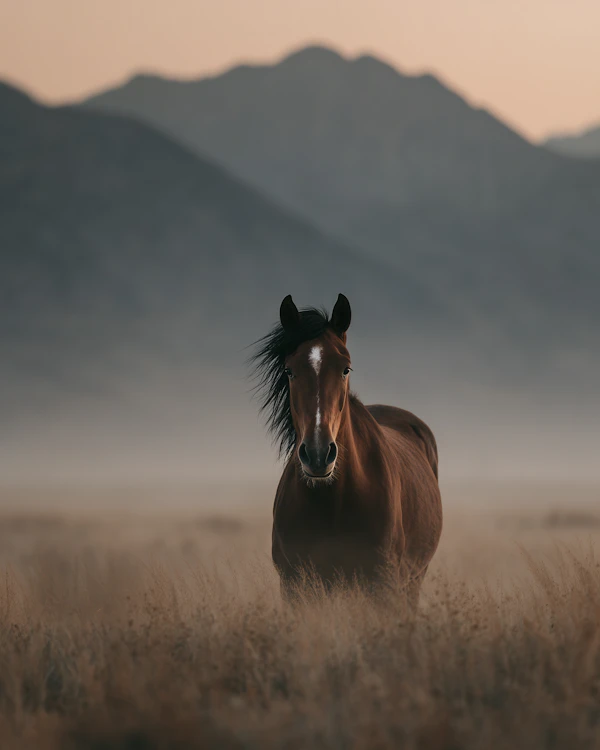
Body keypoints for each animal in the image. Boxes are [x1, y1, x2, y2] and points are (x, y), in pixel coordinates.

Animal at [251, 294, 442, 605]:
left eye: (346, 368)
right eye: (289, 370)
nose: (318, 455)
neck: (332, 503)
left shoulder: (383, 585)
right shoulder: (294, 586)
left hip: (412, 581)